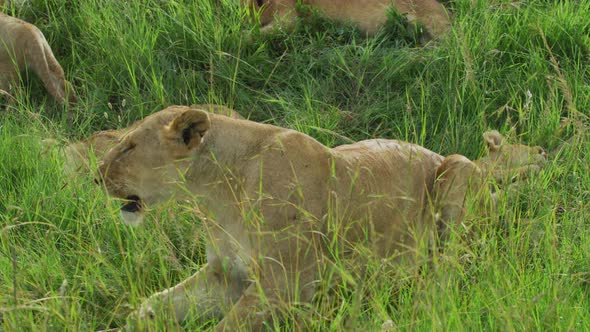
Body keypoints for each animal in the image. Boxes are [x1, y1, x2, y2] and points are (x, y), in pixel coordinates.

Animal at [91, 105, 544, 330]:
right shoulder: (226, 276)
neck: (215, 192)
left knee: (454, 265)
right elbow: (153, 304)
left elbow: (225, 328)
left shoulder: (284, 287)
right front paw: (129, 324)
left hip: (457, 171)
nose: (95, 177)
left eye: (129, 147)